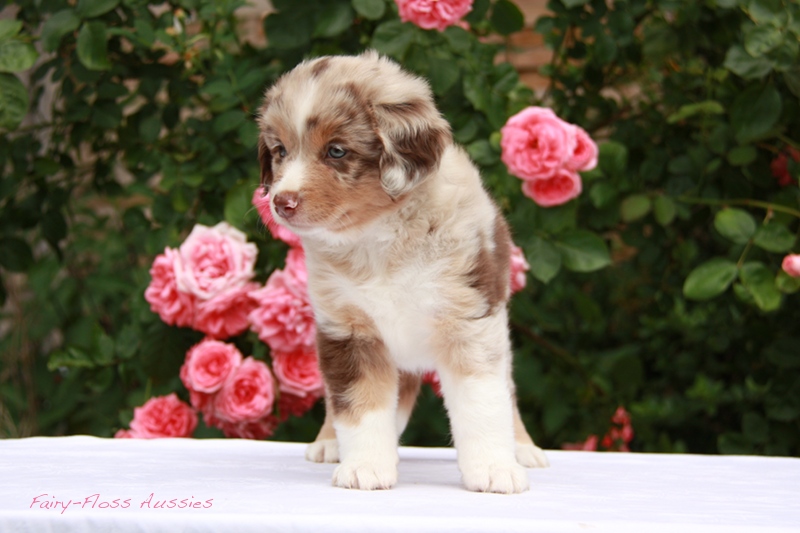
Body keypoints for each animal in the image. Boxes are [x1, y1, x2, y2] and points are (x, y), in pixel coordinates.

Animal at [256, 52, 552, 492]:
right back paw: (329, 442)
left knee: (507, 391)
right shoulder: (347, 329)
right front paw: (364, 466)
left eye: (337, 151)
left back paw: (523, 448)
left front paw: (494, 468)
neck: (380, 238)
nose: (281, 202)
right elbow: (359, 404)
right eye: (279, 151)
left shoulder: (470, 322)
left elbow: (482, 403)